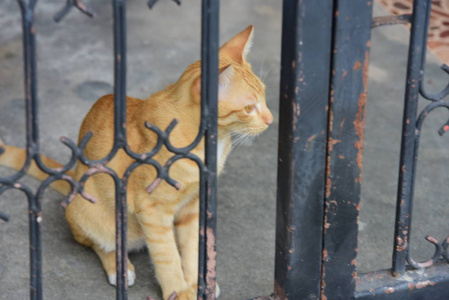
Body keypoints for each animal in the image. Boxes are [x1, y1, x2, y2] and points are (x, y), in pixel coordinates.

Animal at [0, 25, 270, 300]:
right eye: (249, 108)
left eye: (266, 97)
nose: (271, 120)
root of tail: (74, 176)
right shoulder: (152, 210)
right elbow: (167, 256)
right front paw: (180, 290)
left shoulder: (192, 206)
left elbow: (192, 247)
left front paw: (198, 282)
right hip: (94, 216)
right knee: (103, 244)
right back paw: (118, 268)